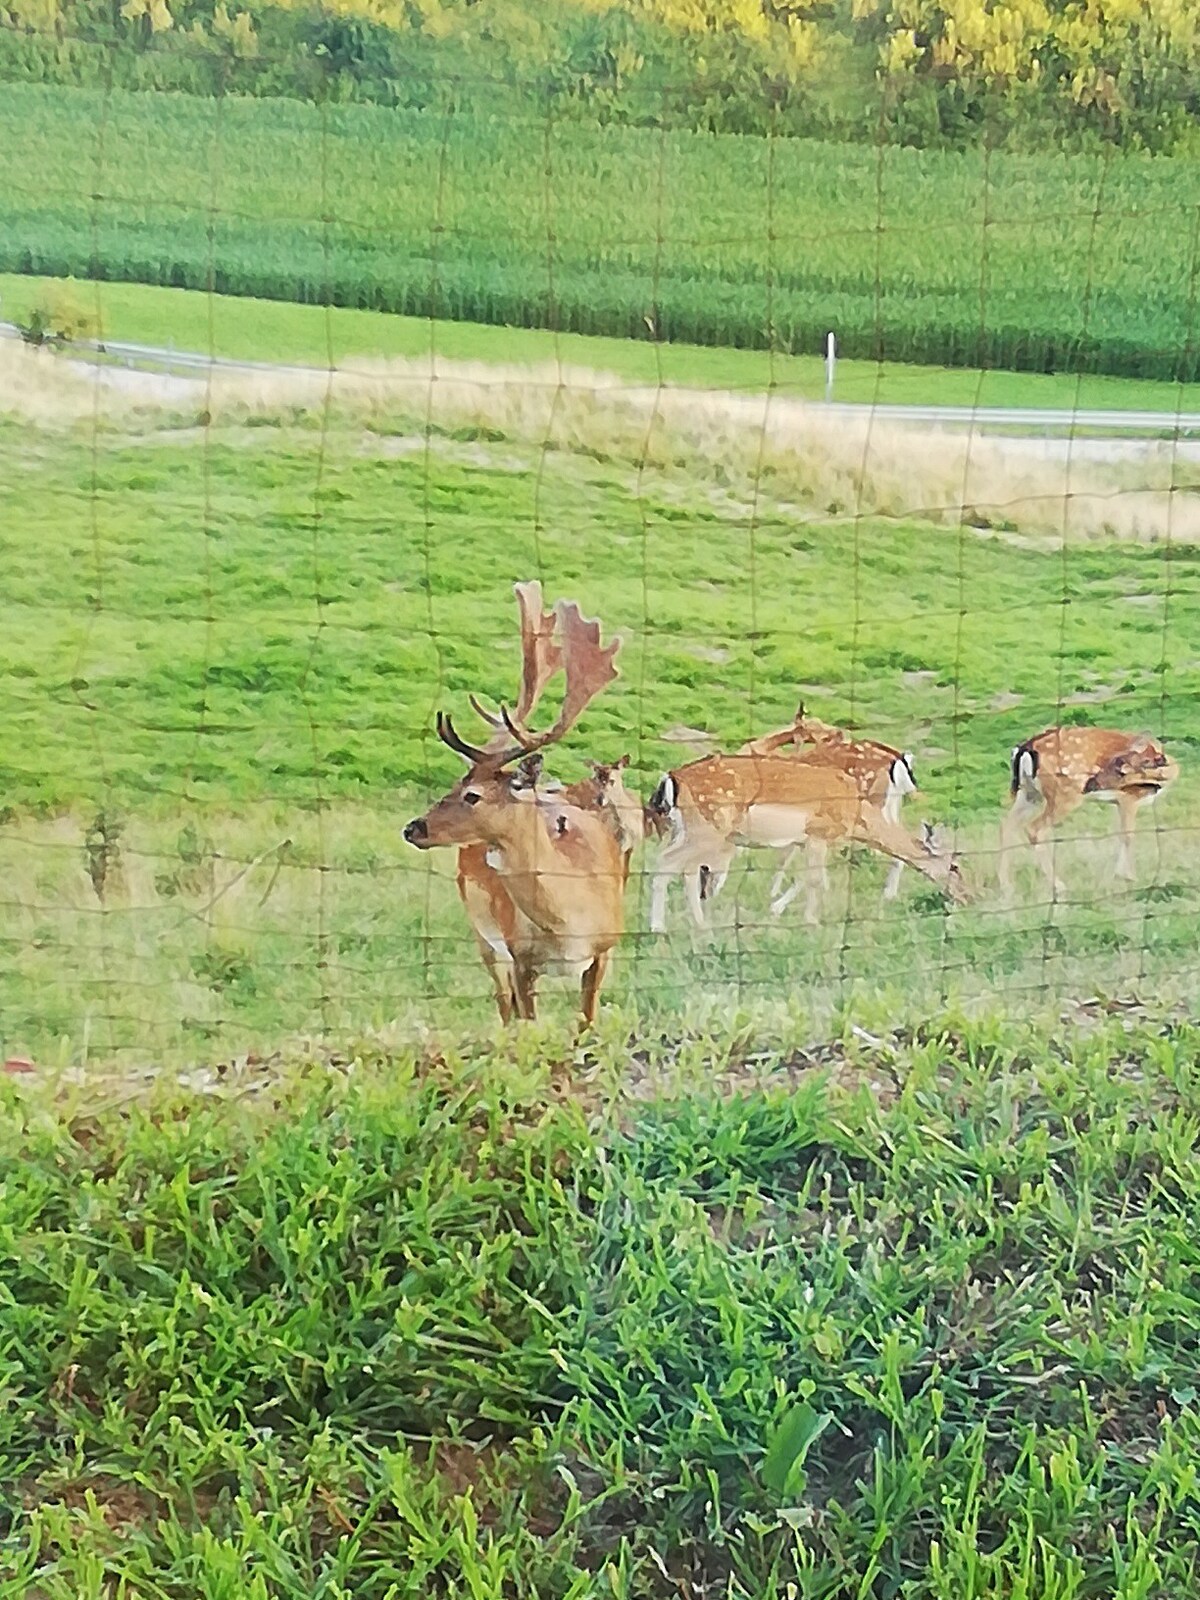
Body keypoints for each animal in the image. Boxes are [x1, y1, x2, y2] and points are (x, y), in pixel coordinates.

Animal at [406, 585, 630, 1024]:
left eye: (472, 795)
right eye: (454, 784)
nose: (413, 828)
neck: (569, 926)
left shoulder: (606, 948)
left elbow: (586, 1023)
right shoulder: (521, 956)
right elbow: (530, 1024)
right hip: (483, 934)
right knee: (503, 1004)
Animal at [649, 752, 966, 934]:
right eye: (955, 867)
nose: (967, 897)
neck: (857, 816)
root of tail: (670, 779)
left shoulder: (807, 840)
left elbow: (808, 877)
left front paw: (778, 909)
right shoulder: (819, 832)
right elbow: (815, 880)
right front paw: (811, 922)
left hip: (685, 829)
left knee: (685, 869)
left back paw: (699, 924)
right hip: (709, 826)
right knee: (666, 864)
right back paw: (657, 927)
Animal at [998, 729, 1184, 896]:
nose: (1093, 783)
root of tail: (1024, 749)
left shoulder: (1118, 802)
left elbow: (1119, 834)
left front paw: (1118, 875)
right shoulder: (1128, 798)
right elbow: (1128, 835)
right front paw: (1130, 876)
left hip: (1029, 793)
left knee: (1006, 826)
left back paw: (1007, 886)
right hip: (1065, 795)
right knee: (1034, 829)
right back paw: (1059, 886)